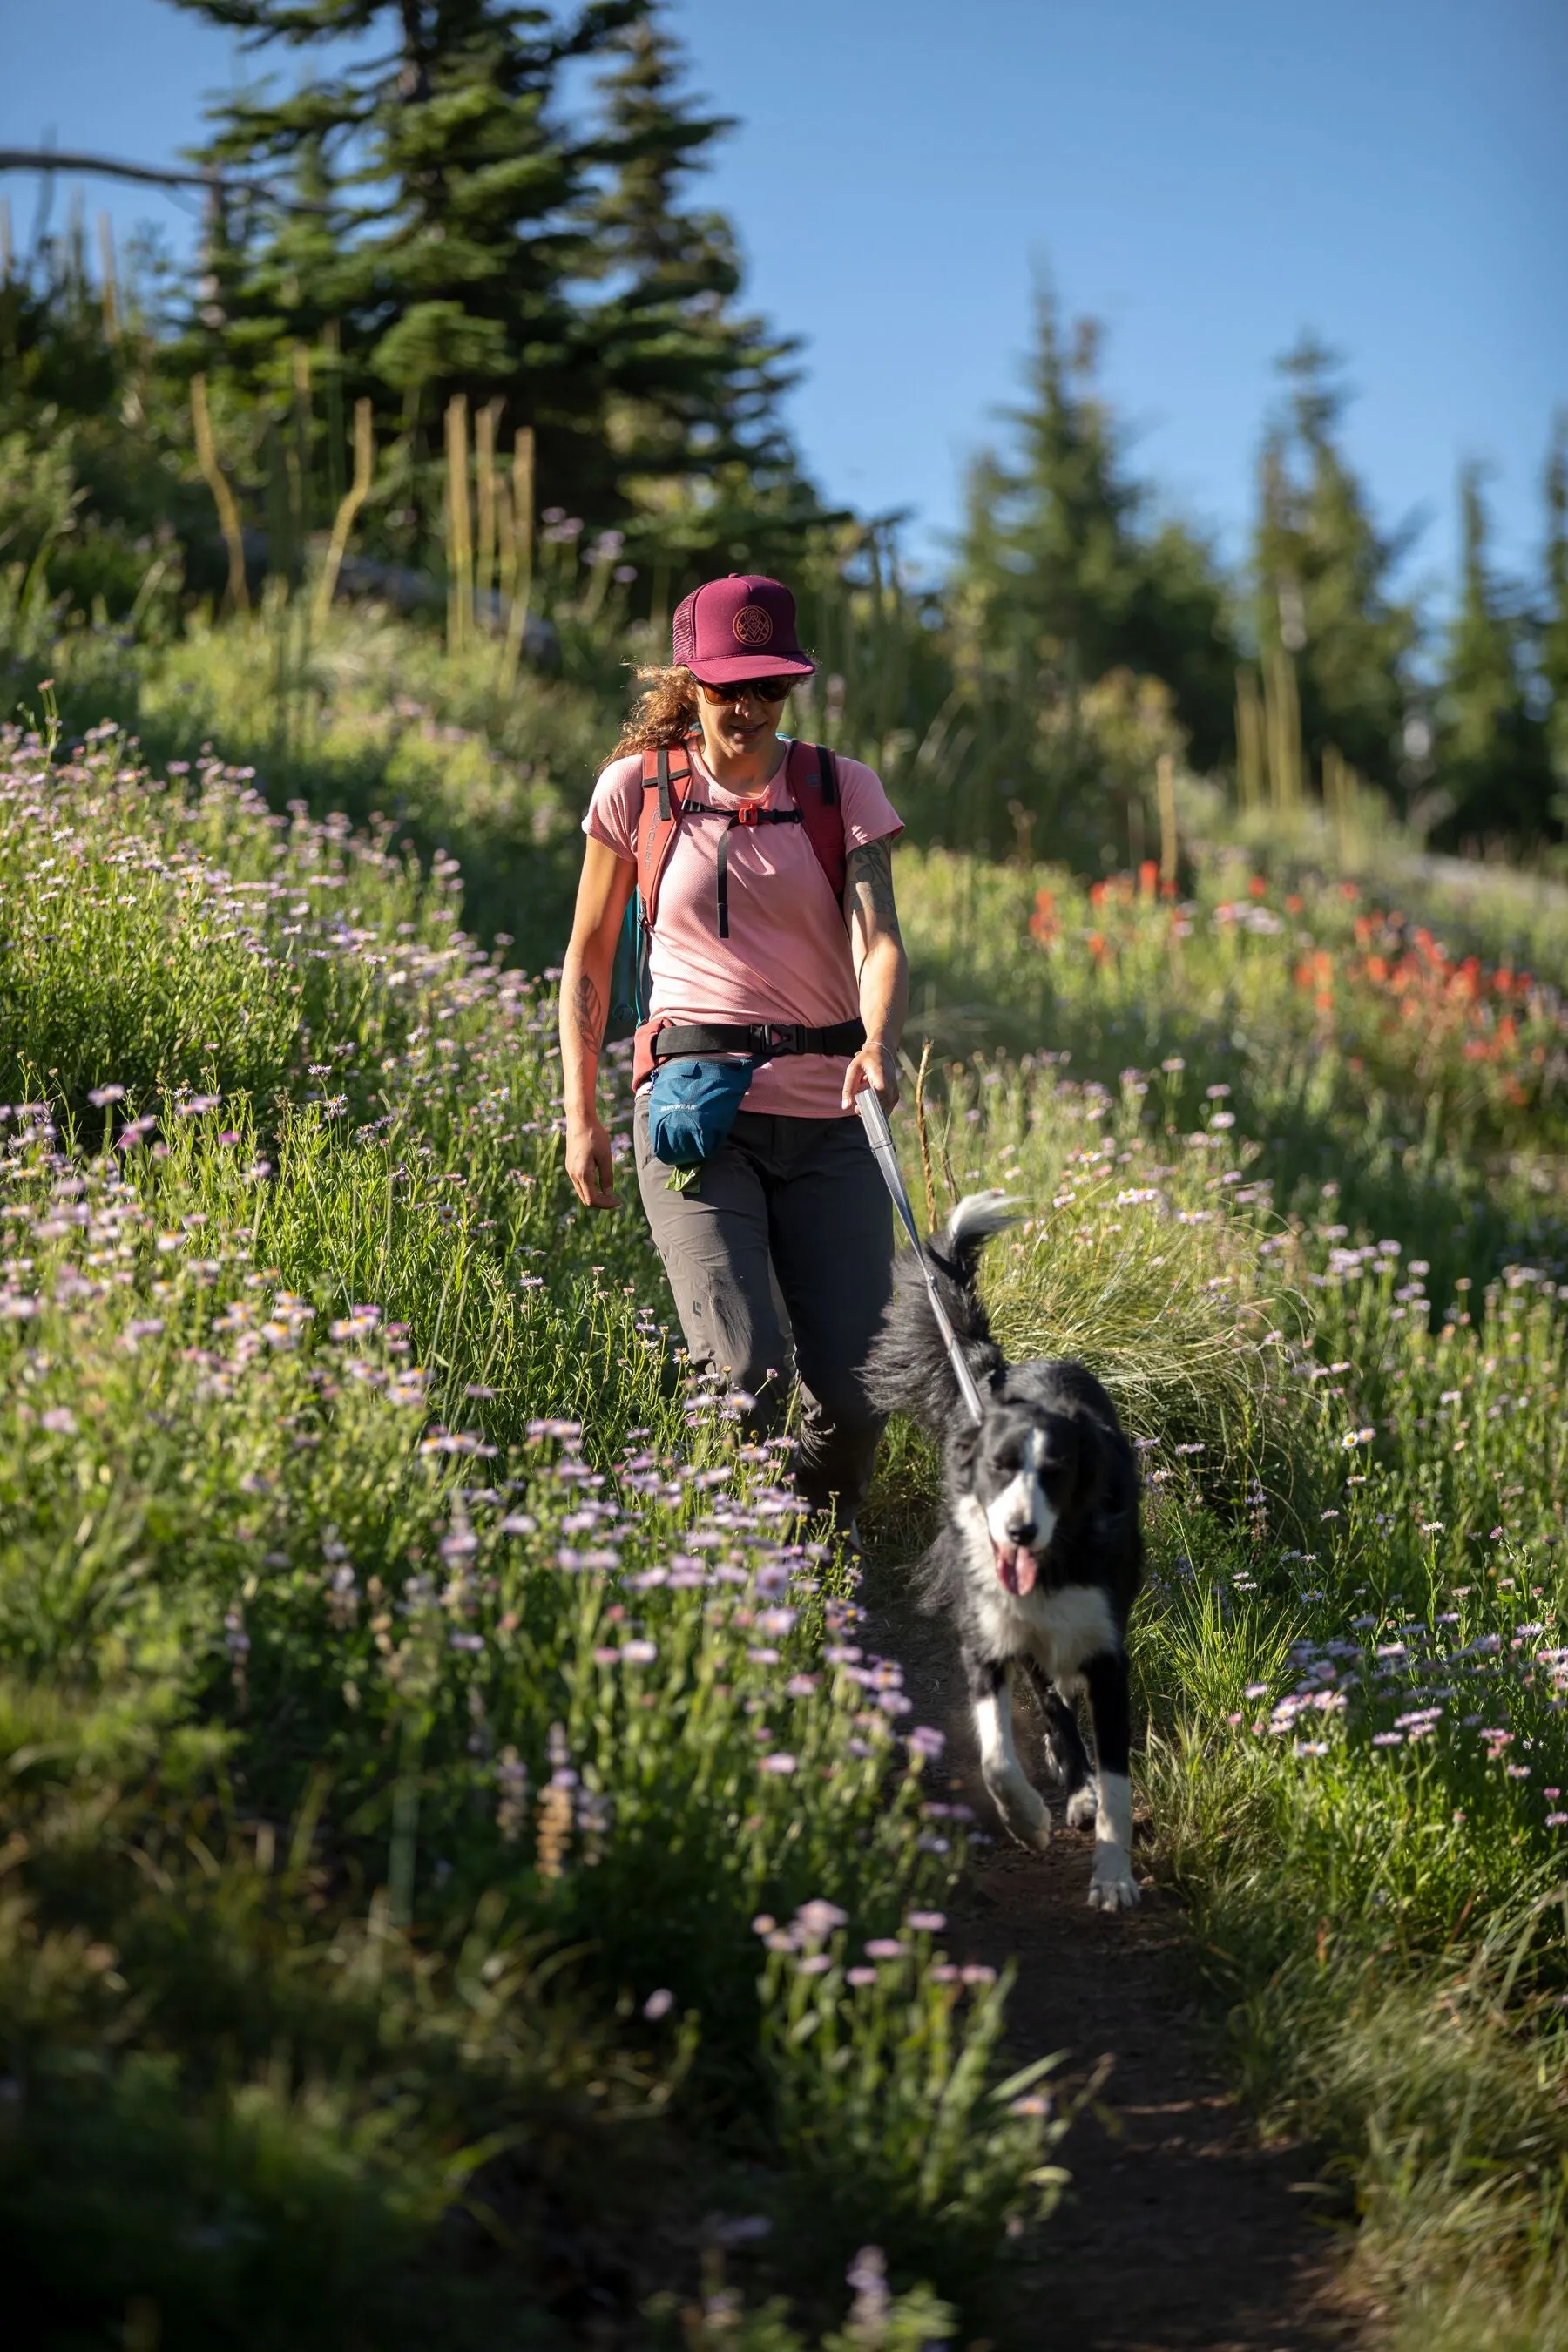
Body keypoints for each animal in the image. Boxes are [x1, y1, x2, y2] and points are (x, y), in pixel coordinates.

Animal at [865, 1194, 1146, 1909]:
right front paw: (1030, 1821)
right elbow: (997, 1755)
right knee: (1050, 1701)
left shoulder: (1108, 1651)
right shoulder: (990, 1631)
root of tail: (1000, 1374)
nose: (1018, 1532)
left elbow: (1119, 1782)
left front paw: (1113, 1876)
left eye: (1056, 1474)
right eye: (997, 1467)